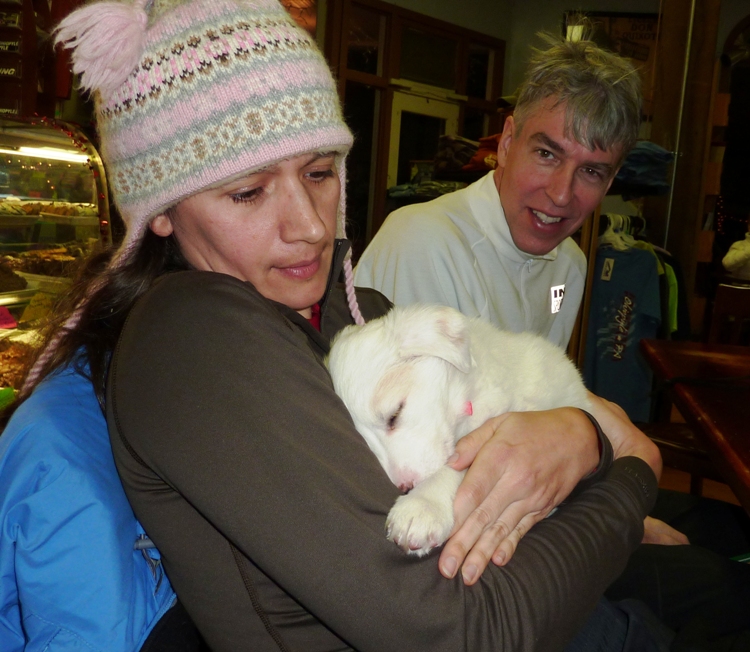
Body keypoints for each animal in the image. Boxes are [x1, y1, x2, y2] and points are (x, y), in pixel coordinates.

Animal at [328, 304, 592, 556]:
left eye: (395, 414)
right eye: (365, 441)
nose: (405, 487)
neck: (467, 397)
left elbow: (459, 466)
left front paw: (422, 505)